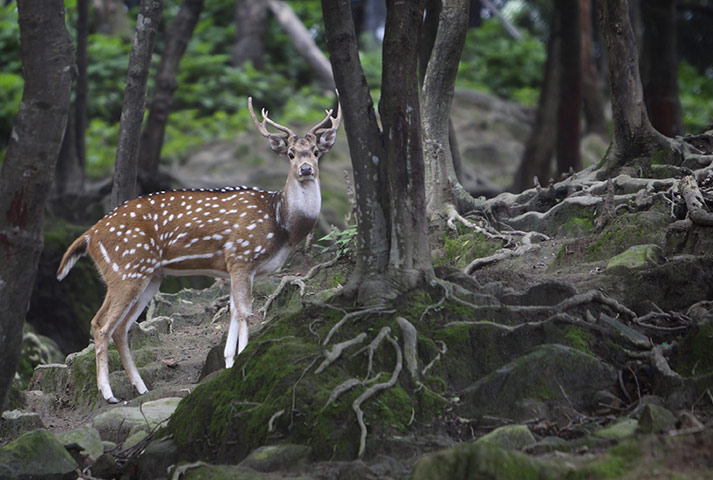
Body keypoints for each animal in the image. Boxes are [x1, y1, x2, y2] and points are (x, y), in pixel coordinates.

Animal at [56, 96, 341, 403]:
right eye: (290, 153)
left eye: (315, 152)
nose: (306, 169)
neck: (281, 224)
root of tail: (89, 234)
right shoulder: (241, 257)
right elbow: (244, 312)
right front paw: (243, 358)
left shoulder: (239, 269)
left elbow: (232, 309)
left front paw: (229, 361)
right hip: (125, 269)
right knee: (101, 324)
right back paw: (108, 394)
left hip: (150, 277)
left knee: (122, 328)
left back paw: (141, 387)